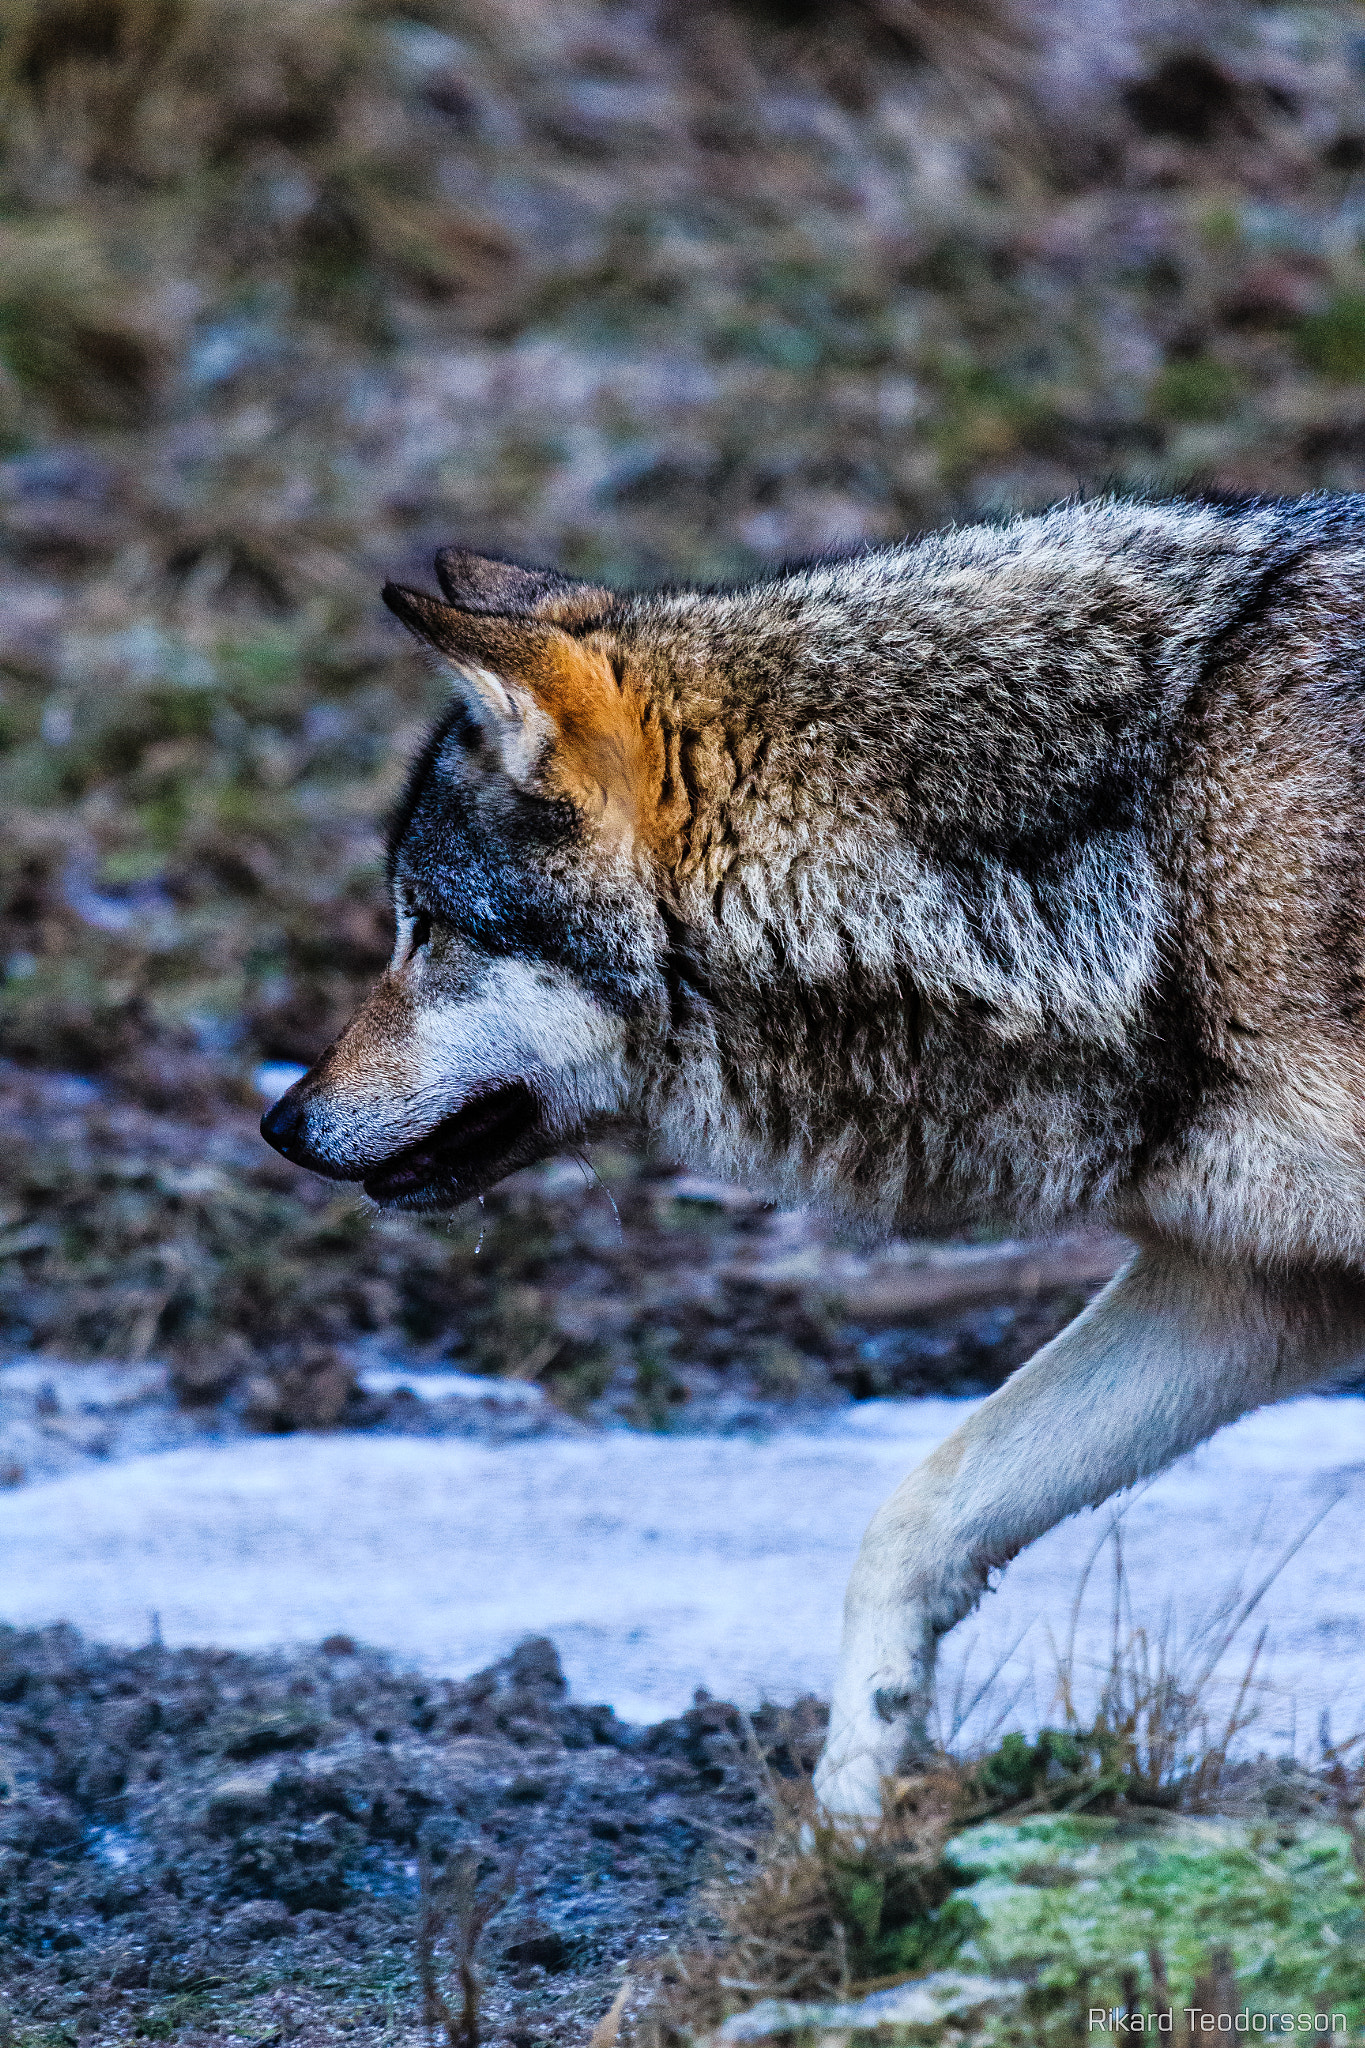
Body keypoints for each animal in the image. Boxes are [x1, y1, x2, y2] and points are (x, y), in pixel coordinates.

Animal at [261, 493, 1365, 1817]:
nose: (281, 1122)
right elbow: (915, 1519)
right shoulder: (1257, 1281)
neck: (1151, 850)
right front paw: (849, 1815)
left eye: (428, 930)